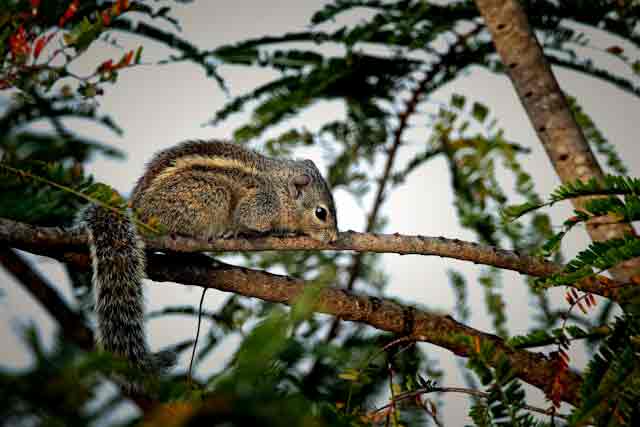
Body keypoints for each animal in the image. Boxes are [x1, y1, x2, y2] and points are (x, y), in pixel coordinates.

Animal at [76, 140, 340, 392]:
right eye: (321, 213)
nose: (334, 238)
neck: (280, 188)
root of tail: (136, 211)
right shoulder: (261, 206)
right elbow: (252, 222)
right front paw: (272, 232)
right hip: (212, 195)